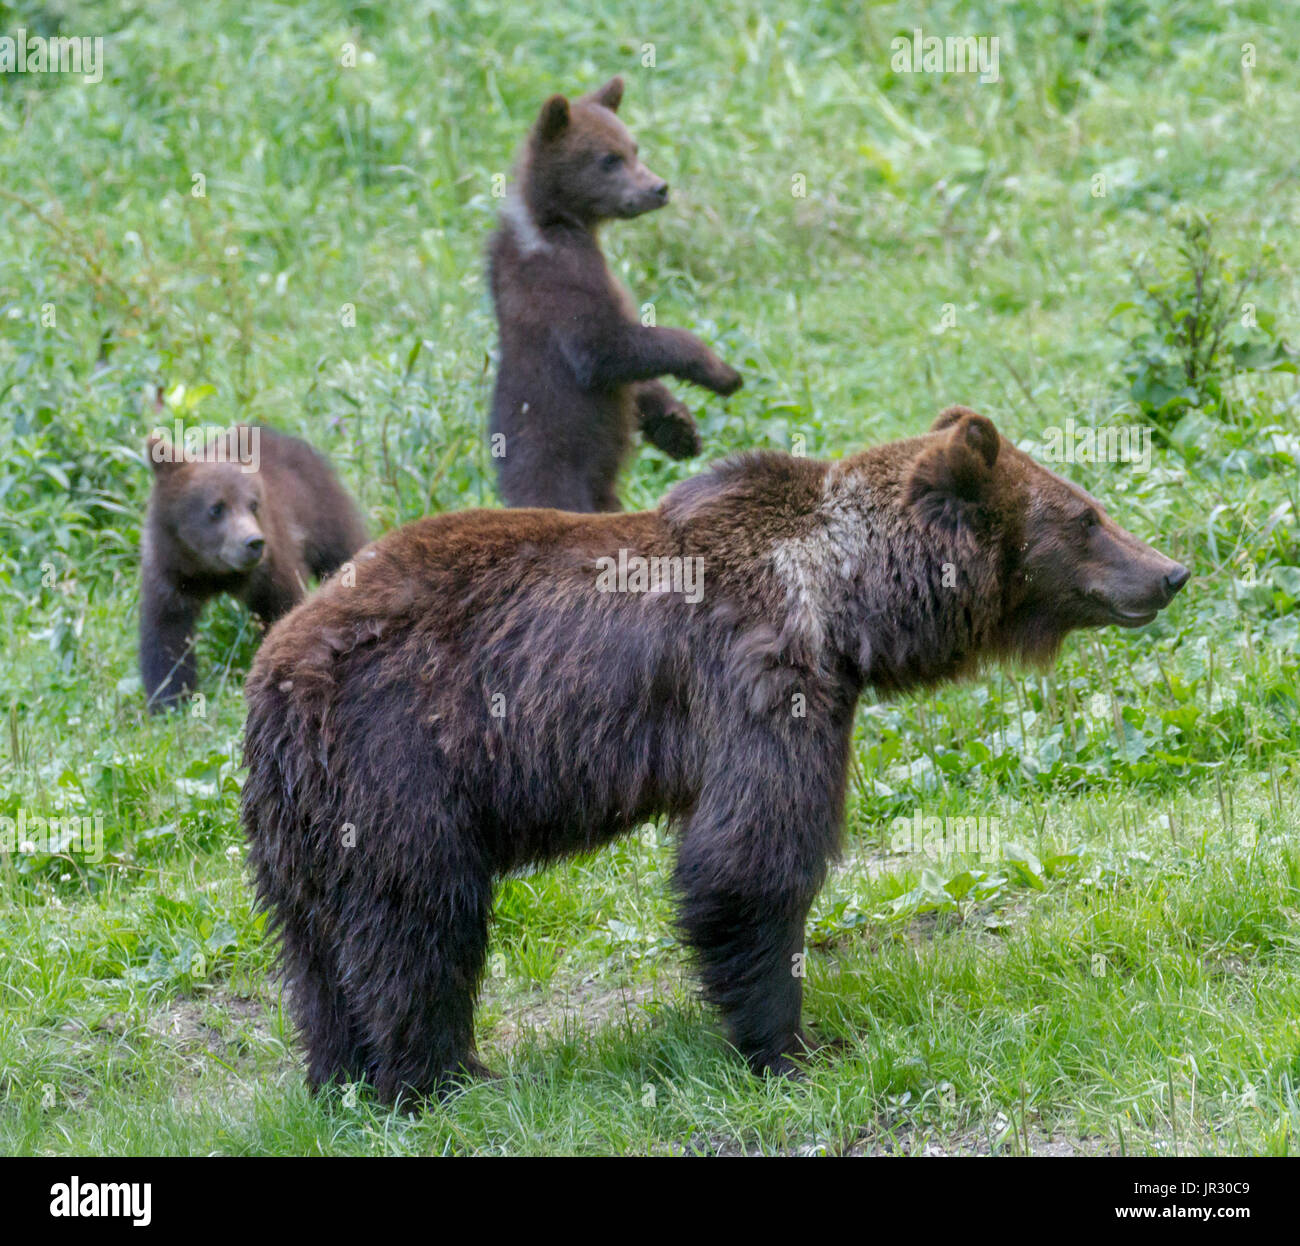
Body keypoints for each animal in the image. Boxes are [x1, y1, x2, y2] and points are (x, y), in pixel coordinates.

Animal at [140, 424, 368, 711]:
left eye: (253, 504)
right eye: (216, 508)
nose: (253, 542)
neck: (212, 572)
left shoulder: (270, 569)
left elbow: (284, 609)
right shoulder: (169, 573)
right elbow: (165, 635)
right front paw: (169, 698)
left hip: (322, 511)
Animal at [240, 406, 1189, 1103]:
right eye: (1087, 515)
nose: (1170, 570)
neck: (845, 600)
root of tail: (274, 677)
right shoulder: (761, 680)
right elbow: (750, 860)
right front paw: (790, 1045)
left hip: (301, 819)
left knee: (314, 946)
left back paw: (339, 1078)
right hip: (399, 763)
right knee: (419, 920)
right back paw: (443, 1078)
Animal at [487, 75, 743, 513]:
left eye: (633, 147)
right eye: (609, 159)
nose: (658, 188)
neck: (554, 221)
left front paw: (678, 426)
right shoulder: (557, 278)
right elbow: (605, 347)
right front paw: (721, 372)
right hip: (560, 474)